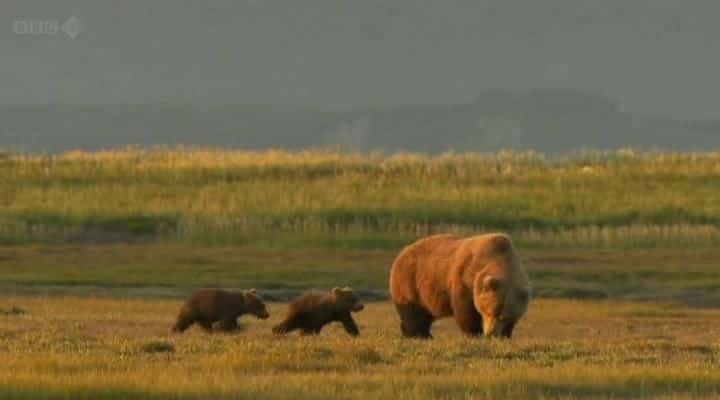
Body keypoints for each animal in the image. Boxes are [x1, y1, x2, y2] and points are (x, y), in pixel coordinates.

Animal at [388, 233, 528, 340]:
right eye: (488, 312)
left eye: (502, 316)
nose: (490, 334)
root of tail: (402, 251)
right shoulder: (466, 278)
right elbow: (466, 310)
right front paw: (474, 334)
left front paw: (506, 335)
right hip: (412, 281)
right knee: (414, 312)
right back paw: (418, 335)